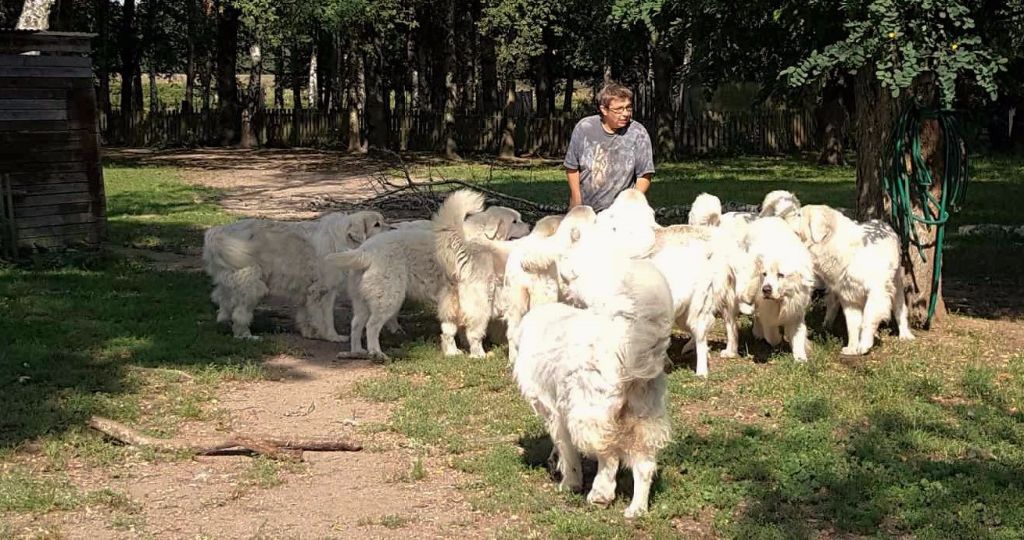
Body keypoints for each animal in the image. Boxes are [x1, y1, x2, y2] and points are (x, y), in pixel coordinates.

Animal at [200, 211, 387, 342]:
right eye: (377, 224)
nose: (392, 228)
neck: (344, 240)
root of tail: (217, 232)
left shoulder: (309, 291)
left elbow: (306, 315)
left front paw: (310, 333)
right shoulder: (324, 291)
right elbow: (326, 318)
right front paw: (332, 336)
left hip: (229, 282)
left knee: (224, 304)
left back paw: (224, 322)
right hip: (251, 284)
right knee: (240, 313)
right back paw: (246, 336)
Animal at [516, 248, 675, 520]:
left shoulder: (553, 409)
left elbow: (566, 448)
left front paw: (569, 482)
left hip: (588, 413)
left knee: (608, 455)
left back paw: (600, 495)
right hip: (644, 416)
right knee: (644, 465)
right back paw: (636, 509)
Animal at [741, 216, 819, 362]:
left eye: (780, 275)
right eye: (764, 274)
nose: (766, 289)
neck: (781, 301)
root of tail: (767, 218)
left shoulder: (796, 312)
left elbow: (798, 337)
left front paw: (801, 359)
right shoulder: (767, 312)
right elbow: (772, 335)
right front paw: (778, 339)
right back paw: (758, 332)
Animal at [786, 205, 917, 354]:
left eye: (799, 215)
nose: (781, 219)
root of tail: (881, 222)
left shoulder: (876, 292)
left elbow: (867, 319)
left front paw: (864, 345)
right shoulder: (848, 297)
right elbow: (853, 325)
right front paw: (852, 347)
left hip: (896, 284)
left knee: (900, 309)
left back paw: (905, 334)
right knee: (832, 304)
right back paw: (827, 324)